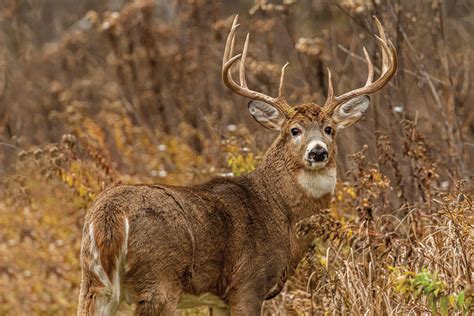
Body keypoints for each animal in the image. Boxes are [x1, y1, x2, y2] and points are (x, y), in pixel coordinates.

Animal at [78, 14, 396, 314]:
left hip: (93, 283)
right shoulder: (248, 284)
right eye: (294, 130)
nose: (318, 152)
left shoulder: (219, 299)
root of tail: (109, 216)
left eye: (330, 129)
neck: (279, 211)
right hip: (158, 279)